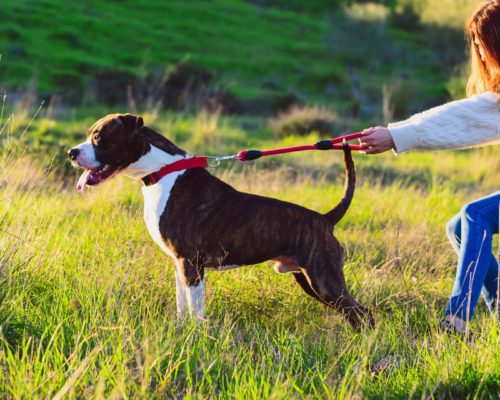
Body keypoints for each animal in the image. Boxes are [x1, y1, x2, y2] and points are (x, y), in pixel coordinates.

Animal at [68, 113, 376, 332]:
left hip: (325, 280)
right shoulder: (179, 264)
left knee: (363, 314)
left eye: (99, 137)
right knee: (355, 315)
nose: (72, 152)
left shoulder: (191, 262)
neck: (163, 171)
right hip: (310, 279)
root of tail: (325, 219)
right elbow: (182, 306)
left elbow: (196, 309)